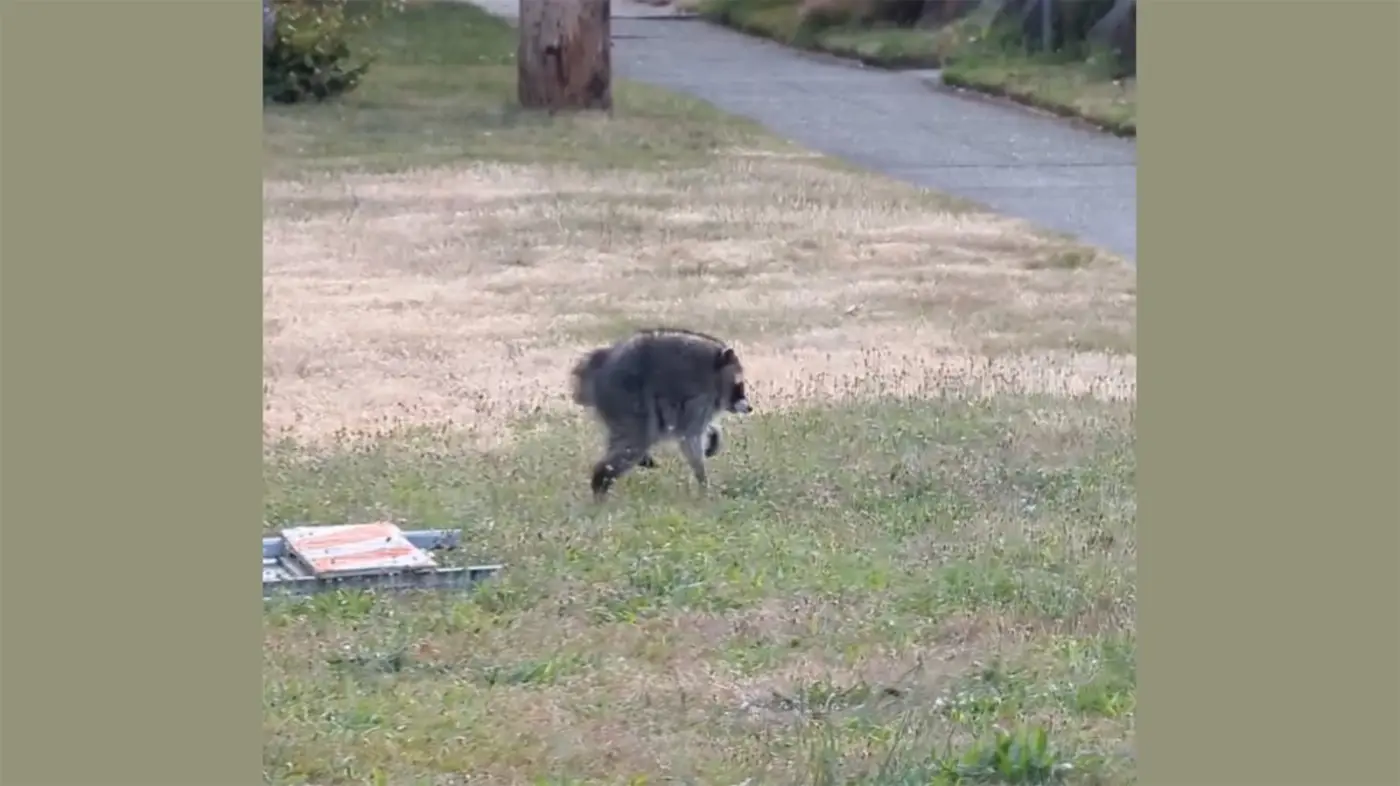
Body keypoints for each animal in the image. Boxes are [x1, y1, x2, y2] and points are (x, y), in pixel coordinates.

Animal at [569, 327, 752, 498]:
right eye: (739, 386)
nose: (749, 408)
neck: (717, 369)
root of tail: (600, 363)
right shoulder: (701, 397)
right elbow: (689, 437)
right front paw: (703, 482)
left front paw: (714, 433)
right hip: (625, 397)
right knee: (635, 440)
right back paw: (601, 481)